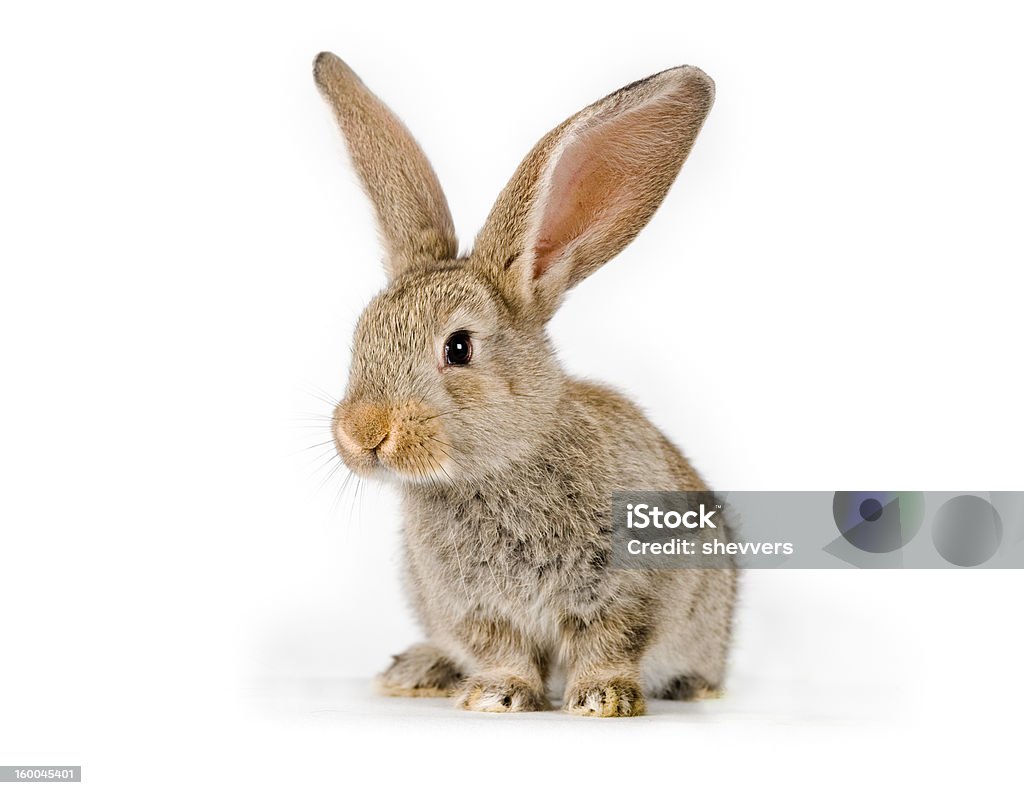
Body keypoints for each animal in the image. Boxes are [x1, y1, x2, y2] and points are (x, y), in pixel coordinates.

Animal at [313, 52, 737, 717]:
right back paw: (420, 669)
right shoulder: (475, 610)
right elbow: (503, 649)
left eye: (458, 348)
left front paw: (602, 700)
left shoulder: (629, 591)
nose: (362, 433)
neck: (498, 468)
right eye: (360, 336)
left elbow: (610, 642)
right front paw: (496, 694)